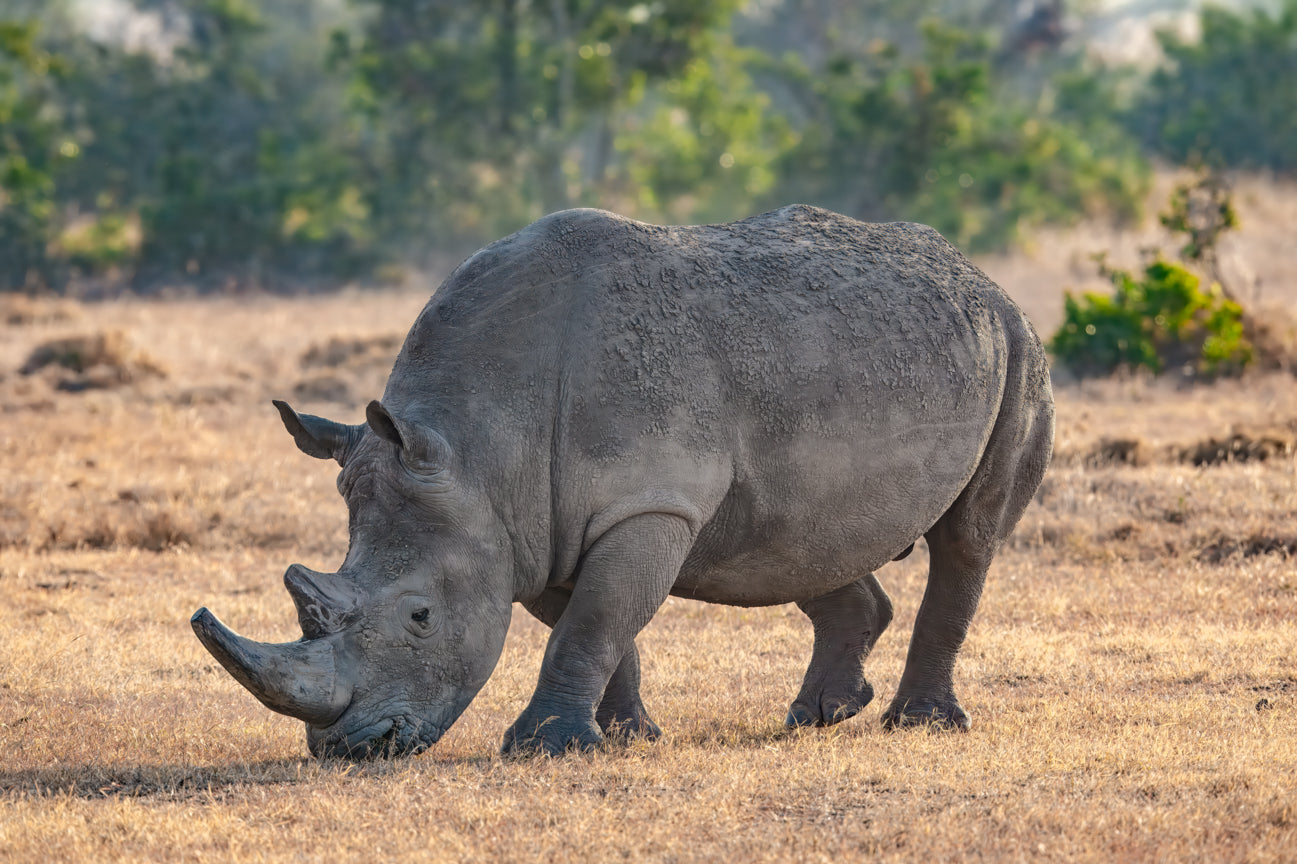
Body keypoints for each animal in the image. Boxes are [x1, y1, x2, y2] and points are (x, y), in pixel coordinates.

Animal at [191, 205, 1054, 757]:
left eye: (420, 618)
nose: (350, 749)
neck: (479, 442)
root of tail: (980, 276)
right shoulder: (528, 523)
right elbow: (596, 624)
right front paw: (625, 737)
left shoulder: (640, 506)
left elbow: (593, 622)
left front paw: (543, 750)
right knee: (799, 538)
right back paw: (818, 716)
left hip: (1016, 351)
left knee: (967, 538)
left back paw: (920, 726)